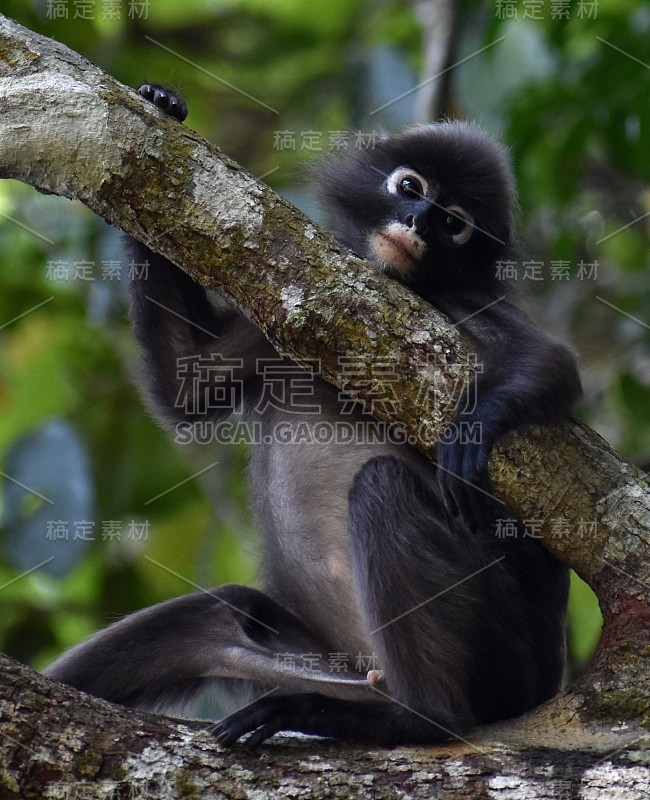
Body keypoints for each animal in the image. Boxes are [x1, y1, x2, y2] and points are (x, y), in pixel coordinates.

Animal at [46, 87, 584, 752]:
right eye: (411, 187)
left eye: (453, 222)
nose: (418, 222)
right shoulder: (292, 317)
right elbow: (188, 382)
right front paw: (163, 107)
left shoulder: (466, 302)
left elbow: (552, 362)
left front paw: (472, 434)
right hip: (325, 663)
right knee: (217, 616)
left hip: (506, 646)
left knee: (381, 488)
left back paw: (417, 716)